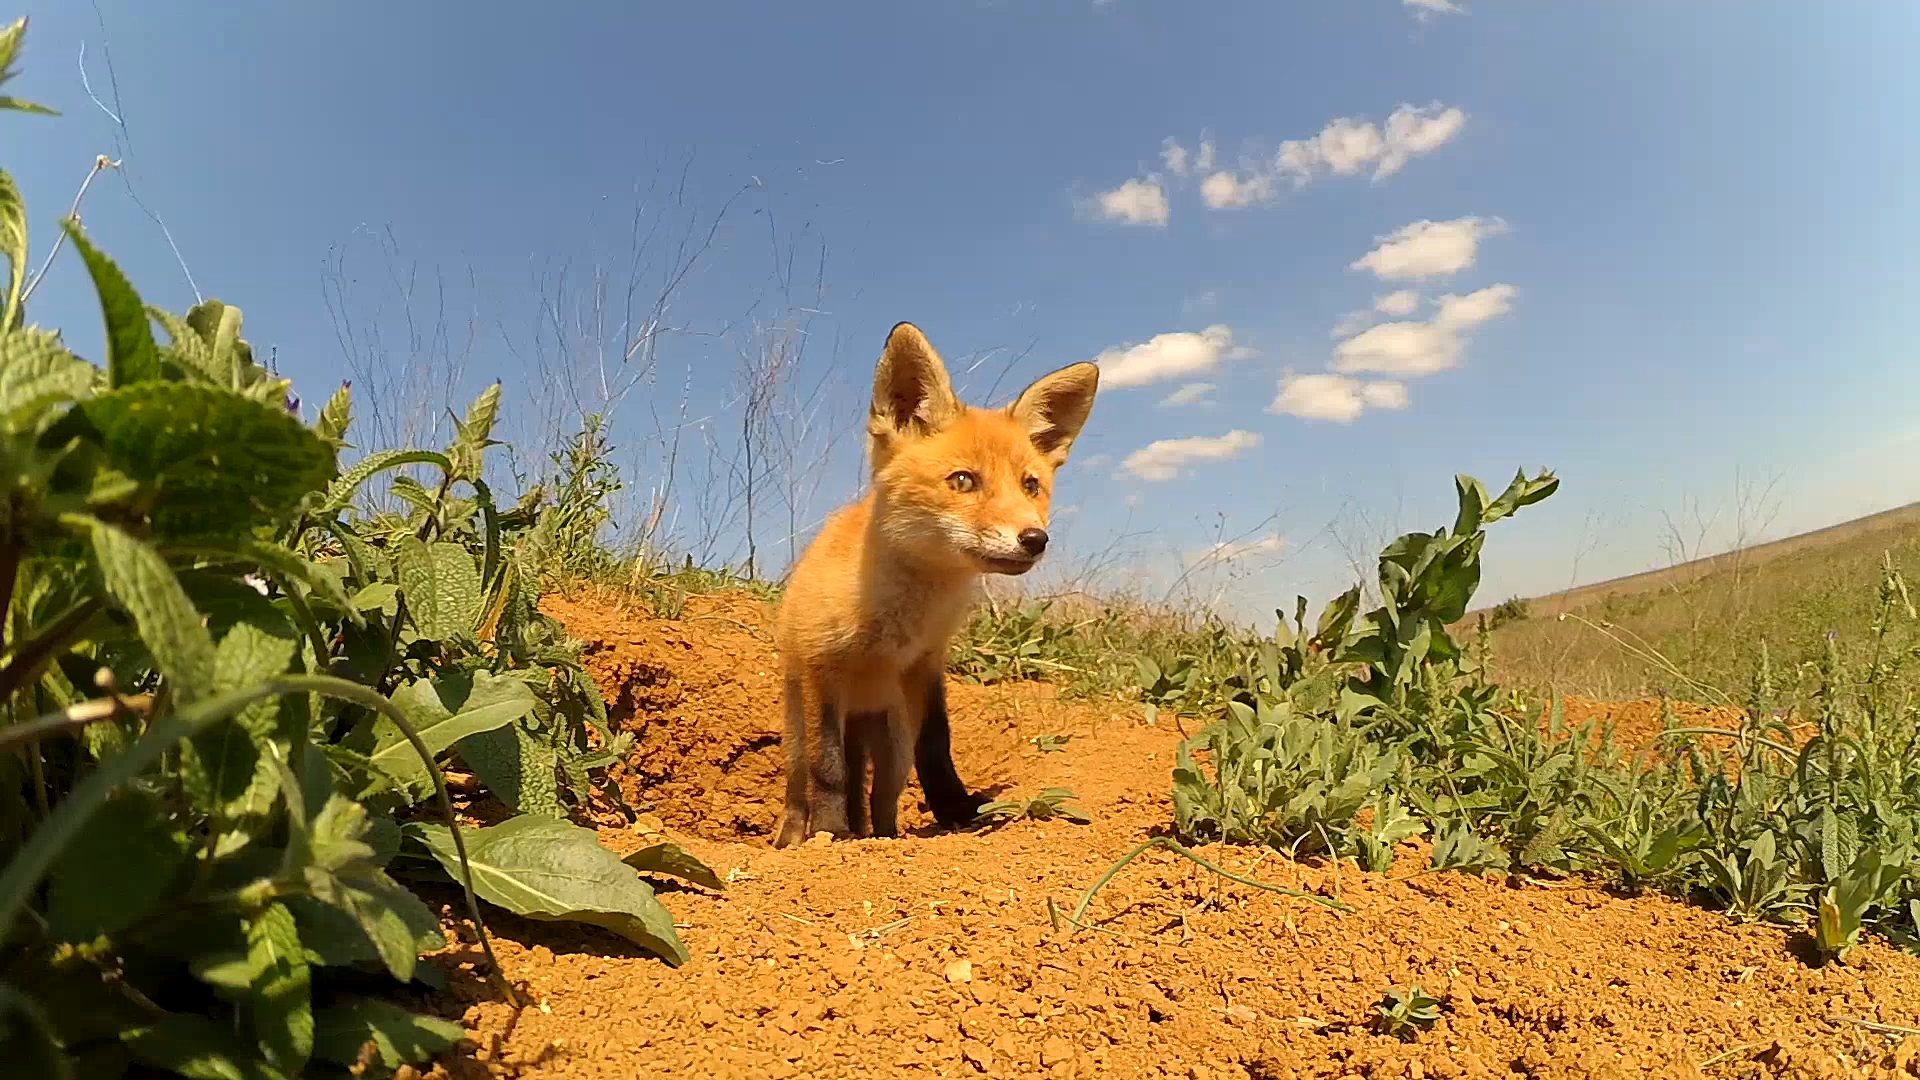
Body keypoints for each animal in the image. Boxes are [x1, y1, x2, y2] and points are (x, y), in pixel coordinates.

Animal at [771, 321, 1098, 848]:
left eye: (1031, 486)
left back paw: (882, 837)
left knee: (881, 796)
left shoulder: (924, 666)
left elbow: (937, 747)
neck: (897, 621)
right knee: (802, 784)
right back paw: (798, 837)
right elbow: (830, 768)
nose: (1035, 539)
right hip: (798, 730)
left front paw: (957, 810)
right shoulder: (824, 669)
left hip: (892, 745)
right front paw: (831, 832)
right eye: (963, 480)